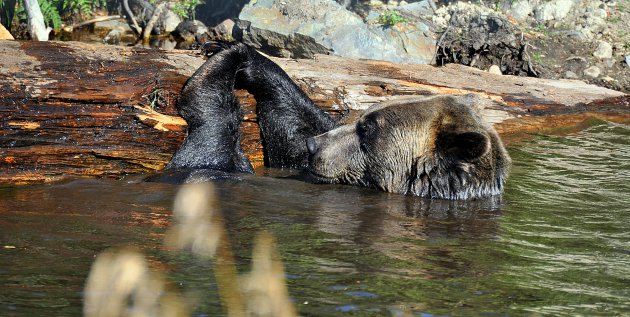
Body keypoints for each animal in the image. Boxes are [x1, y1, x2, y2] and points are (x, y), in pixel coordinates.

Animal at [165, 42, 512, 199]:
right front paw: (241, 54)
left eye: (368, 129)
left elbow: (209, 155)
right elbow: (291, 130)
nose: (313, 147)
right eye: (362, 119)